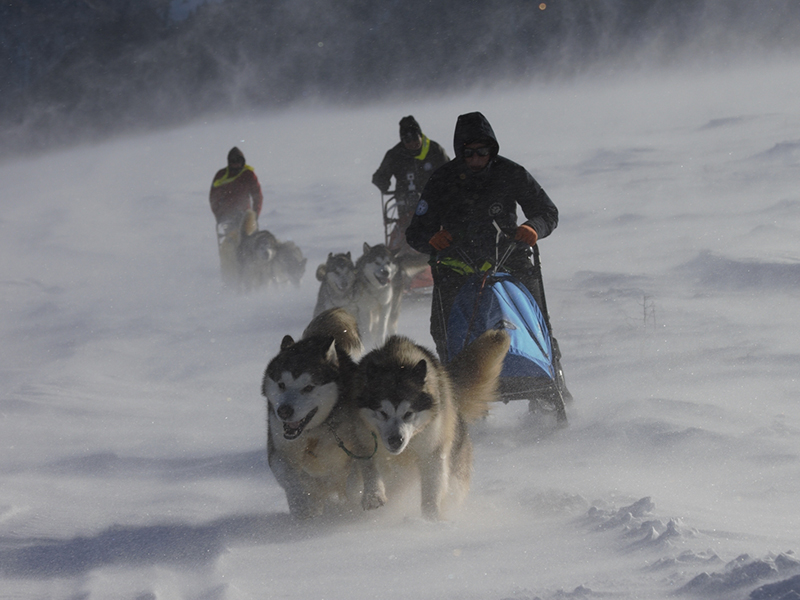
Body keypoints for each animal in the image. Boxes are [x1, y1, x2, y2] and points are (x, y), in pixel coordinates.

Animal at [354, 328, 510, 520]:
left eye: (408, 413)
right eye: (383, 413)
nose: (396, 440)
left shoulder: (433, 449)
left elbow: (432, 488)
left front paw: (431, 520)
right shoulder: (364, 440)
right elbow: (369, 467)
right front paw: (373, 495)